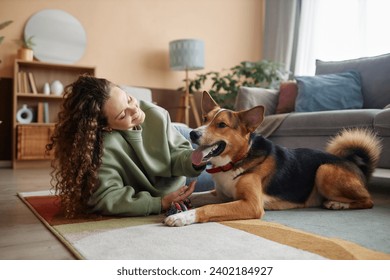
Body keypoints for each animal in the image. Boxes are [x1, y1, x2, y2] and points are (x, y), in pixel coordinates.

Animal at [163, 91, 382, 226]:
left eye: (222, 125)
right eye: (205, 119)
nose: (193, 133)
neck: (236, 161)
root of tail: (356, 165)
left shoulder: (251, 204)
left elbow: (209, 208)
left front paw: (183, 216)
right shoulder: (221, 195)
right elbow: (195, 196)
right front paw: (176, 203)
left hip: (324, 170)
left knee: (369, 201)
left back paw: (338, 204)